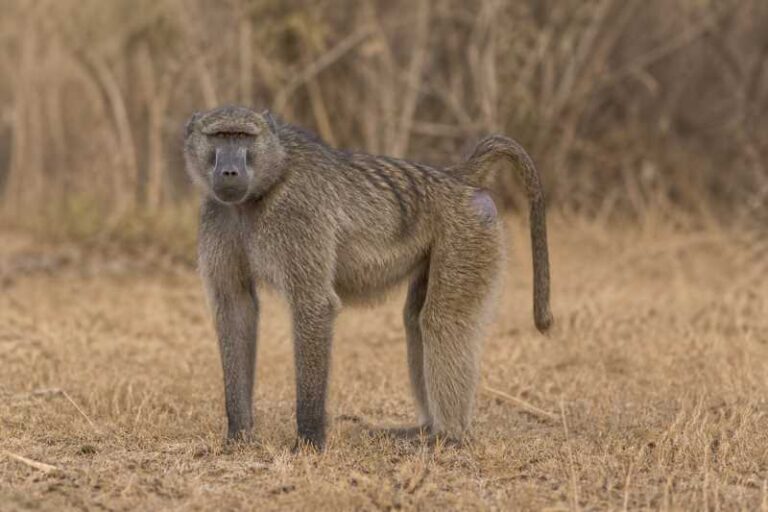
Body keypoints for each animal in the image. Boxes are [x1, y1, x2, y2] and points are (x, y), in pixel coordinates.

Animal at [183, 105, 552, 450]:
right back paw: (426, 429)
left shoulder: (297, 216)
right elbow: (235, 308)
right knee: (415, 320)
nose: (229, 171)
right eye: (219, 137)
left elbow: (313, 305)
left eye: (243, 137)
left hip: (468, 231)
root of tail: (455, 177)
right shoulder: (217, 215)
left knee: (442, 321)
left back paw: (448, 436)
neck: (265, 185)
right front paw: (238, 434)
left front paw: (309, 440)